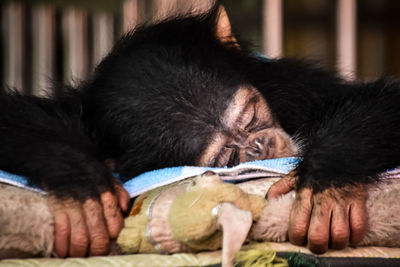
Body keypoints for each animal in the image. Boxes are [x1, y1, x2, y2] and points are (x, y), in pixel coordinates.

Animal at [0, 4, 400, 258]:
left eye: (251, 115)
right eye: (228, 156)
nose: (259, 145)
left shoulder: (293, 83)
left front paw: (326, 180)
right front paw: (81, 181)